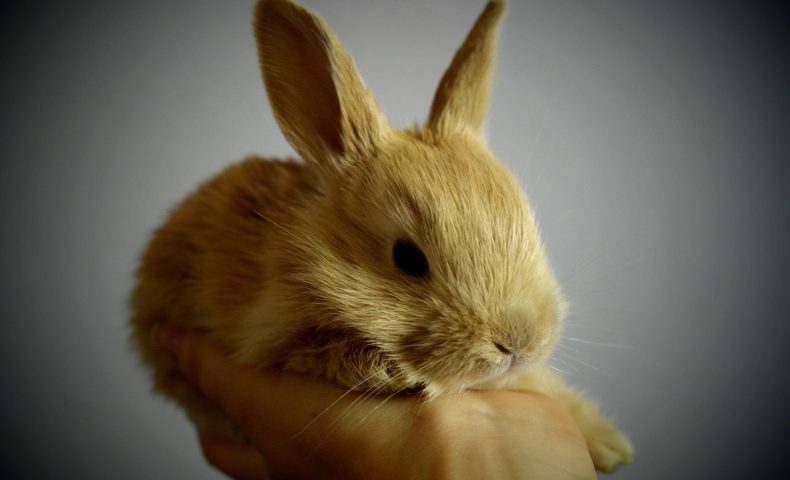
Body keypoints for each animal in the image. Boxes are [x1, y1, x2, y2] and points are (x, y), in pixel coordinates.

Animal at [130, 0, 633, 472]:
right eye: (407, 258)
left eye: (529, 228)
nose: (518, 343)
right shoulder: (275, 334)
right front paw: (391, 375)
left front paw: (609, 443)